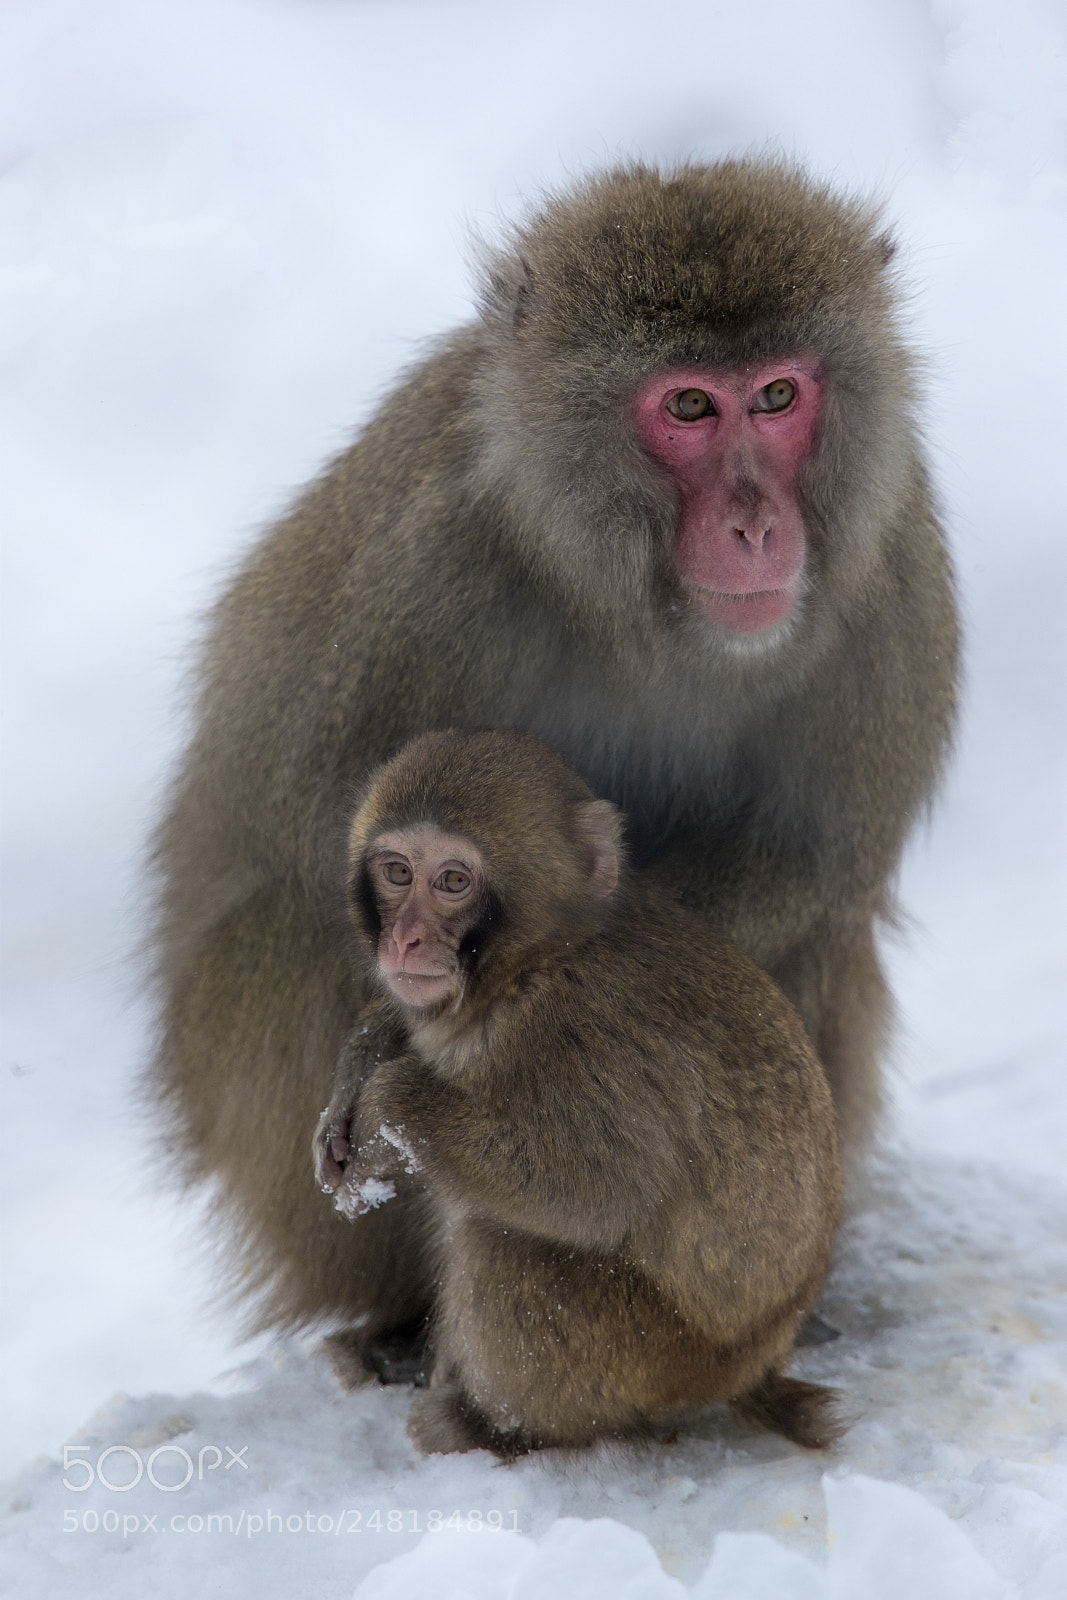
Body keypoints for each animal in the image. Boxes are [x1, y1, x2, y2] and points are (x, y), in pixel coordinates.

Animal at [149, 160, 958, 1357]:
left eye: (775, 397)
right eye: (686, 406)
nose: (757, 526)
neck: (640, 608)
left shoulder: (890, 554)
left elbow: (805, 869)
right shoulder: (426, 562)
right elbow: (317, 838)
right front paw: (384, 1033)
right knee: (279, 946)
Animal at [314, 729, 843, 1455]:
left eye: (453, 881)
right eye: (396, 872)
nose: (405, 938)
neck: (531, 964)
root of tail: (755, 1363)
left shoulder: (584, 1039)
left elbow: (599, 1184)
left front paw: (393, 1100)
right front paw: (360, 1067)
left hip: (649, 1353)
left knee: (504, 1245)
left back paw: (497, 1427)